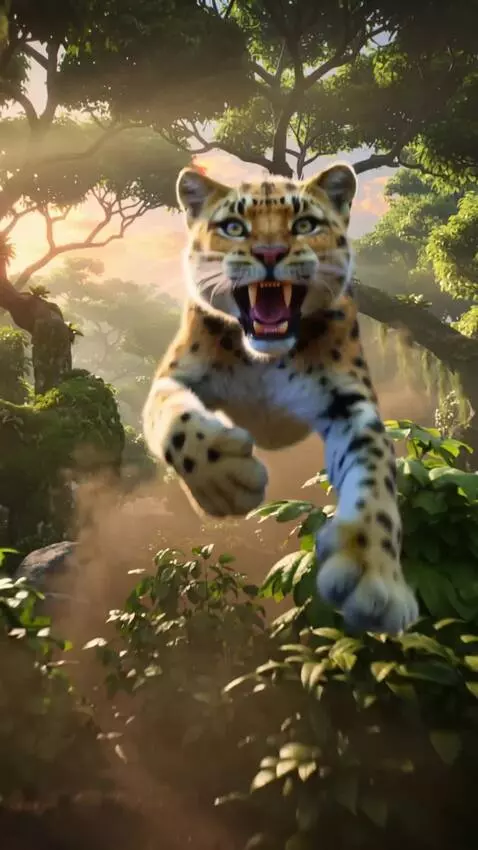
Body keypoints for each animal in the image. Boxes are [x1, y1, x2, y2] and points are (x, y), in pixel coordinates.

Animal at [142, 162, 419, 635]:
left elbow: (374, 475)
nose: (269, 253)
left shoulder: (349, 402)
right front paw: (226, 482)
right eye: (233, 226)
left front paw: (371, 576)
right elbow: (175, 423)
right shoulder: (171, 377)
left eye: (304, 224)